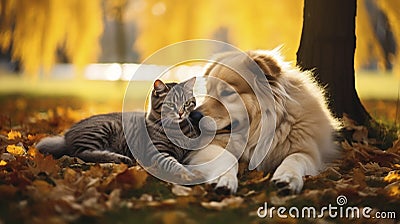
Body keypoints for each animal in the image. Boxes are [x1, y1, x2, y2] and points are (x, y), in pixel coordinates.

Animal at [36, 78, 199, 172]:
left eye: (187, 103)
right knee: (81, 154)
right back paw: (119, 158)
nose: (181, 113)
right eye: (171, 104)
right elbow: (173, 164)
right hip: (102, 129)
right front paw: (186, 173)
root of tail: (66, 135)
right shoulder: (157, 152)